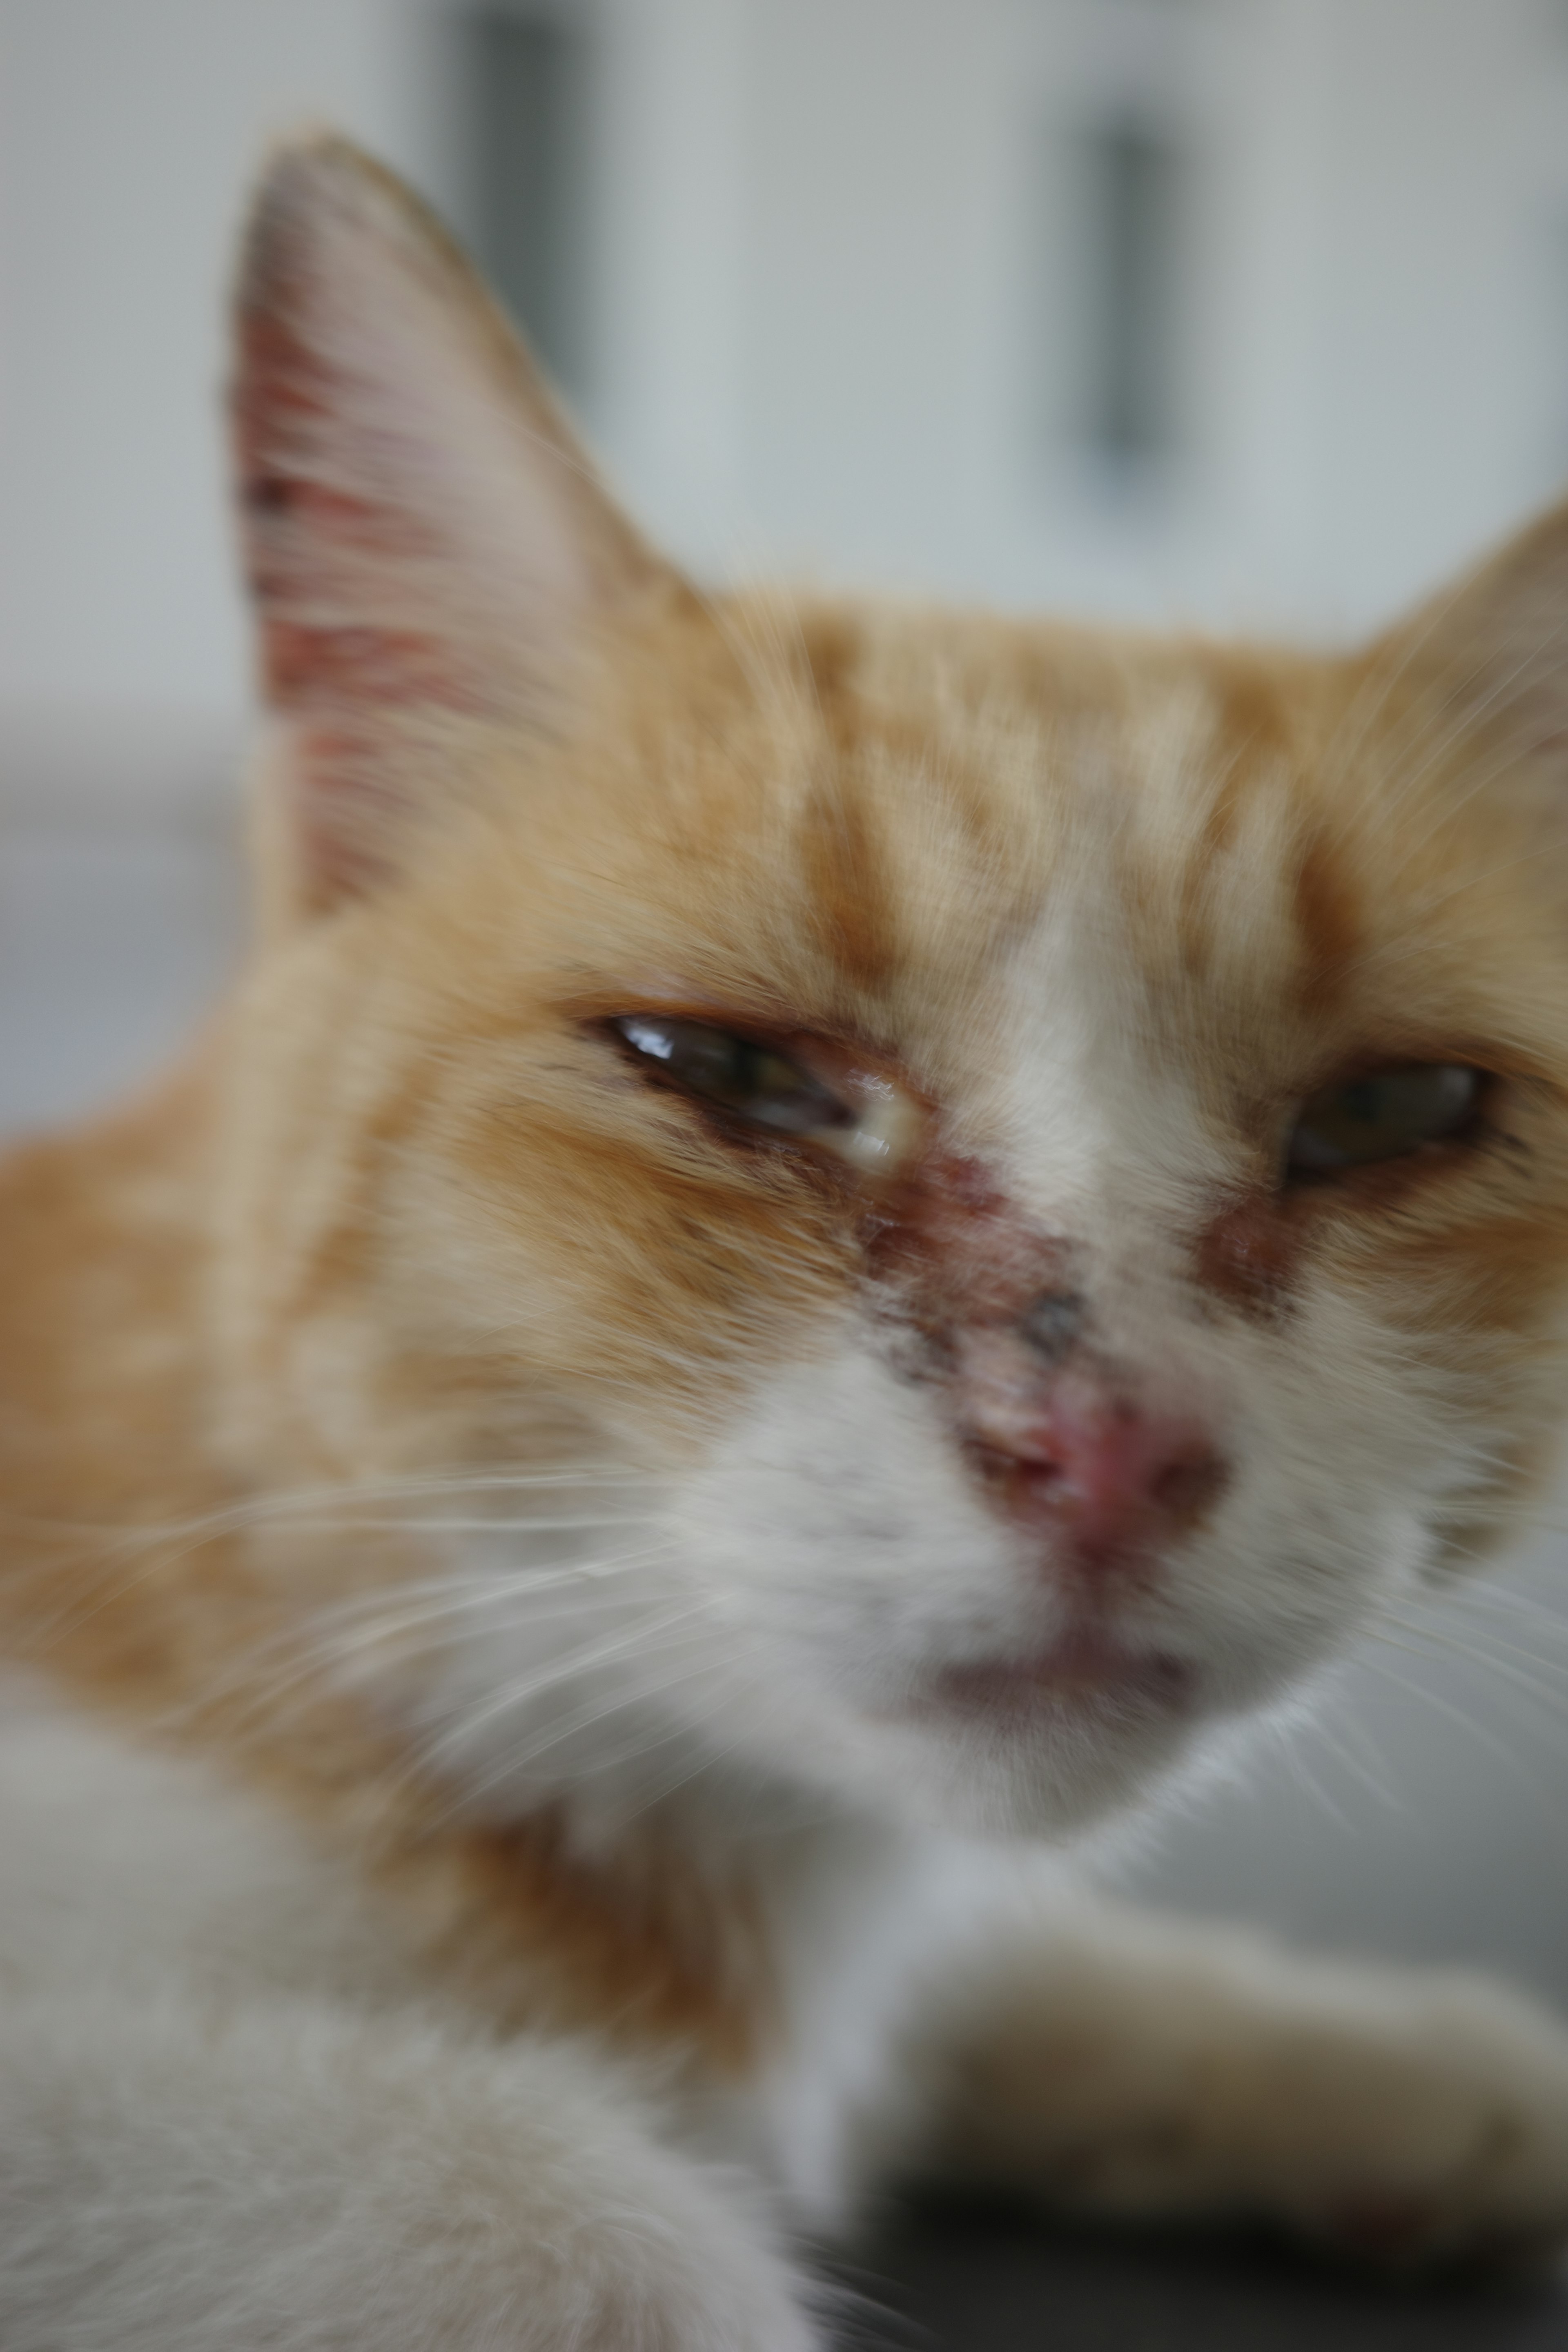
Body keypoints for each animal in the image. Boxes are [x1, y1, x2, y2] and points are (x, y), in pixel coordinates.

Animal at [3, 137, 1568, 2342]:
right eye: (727, 1070)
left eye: (1389, 1114)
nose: (1114, 1448)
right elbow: (568, 2221)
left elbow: (989, 1977)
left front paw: (1354, 2062)